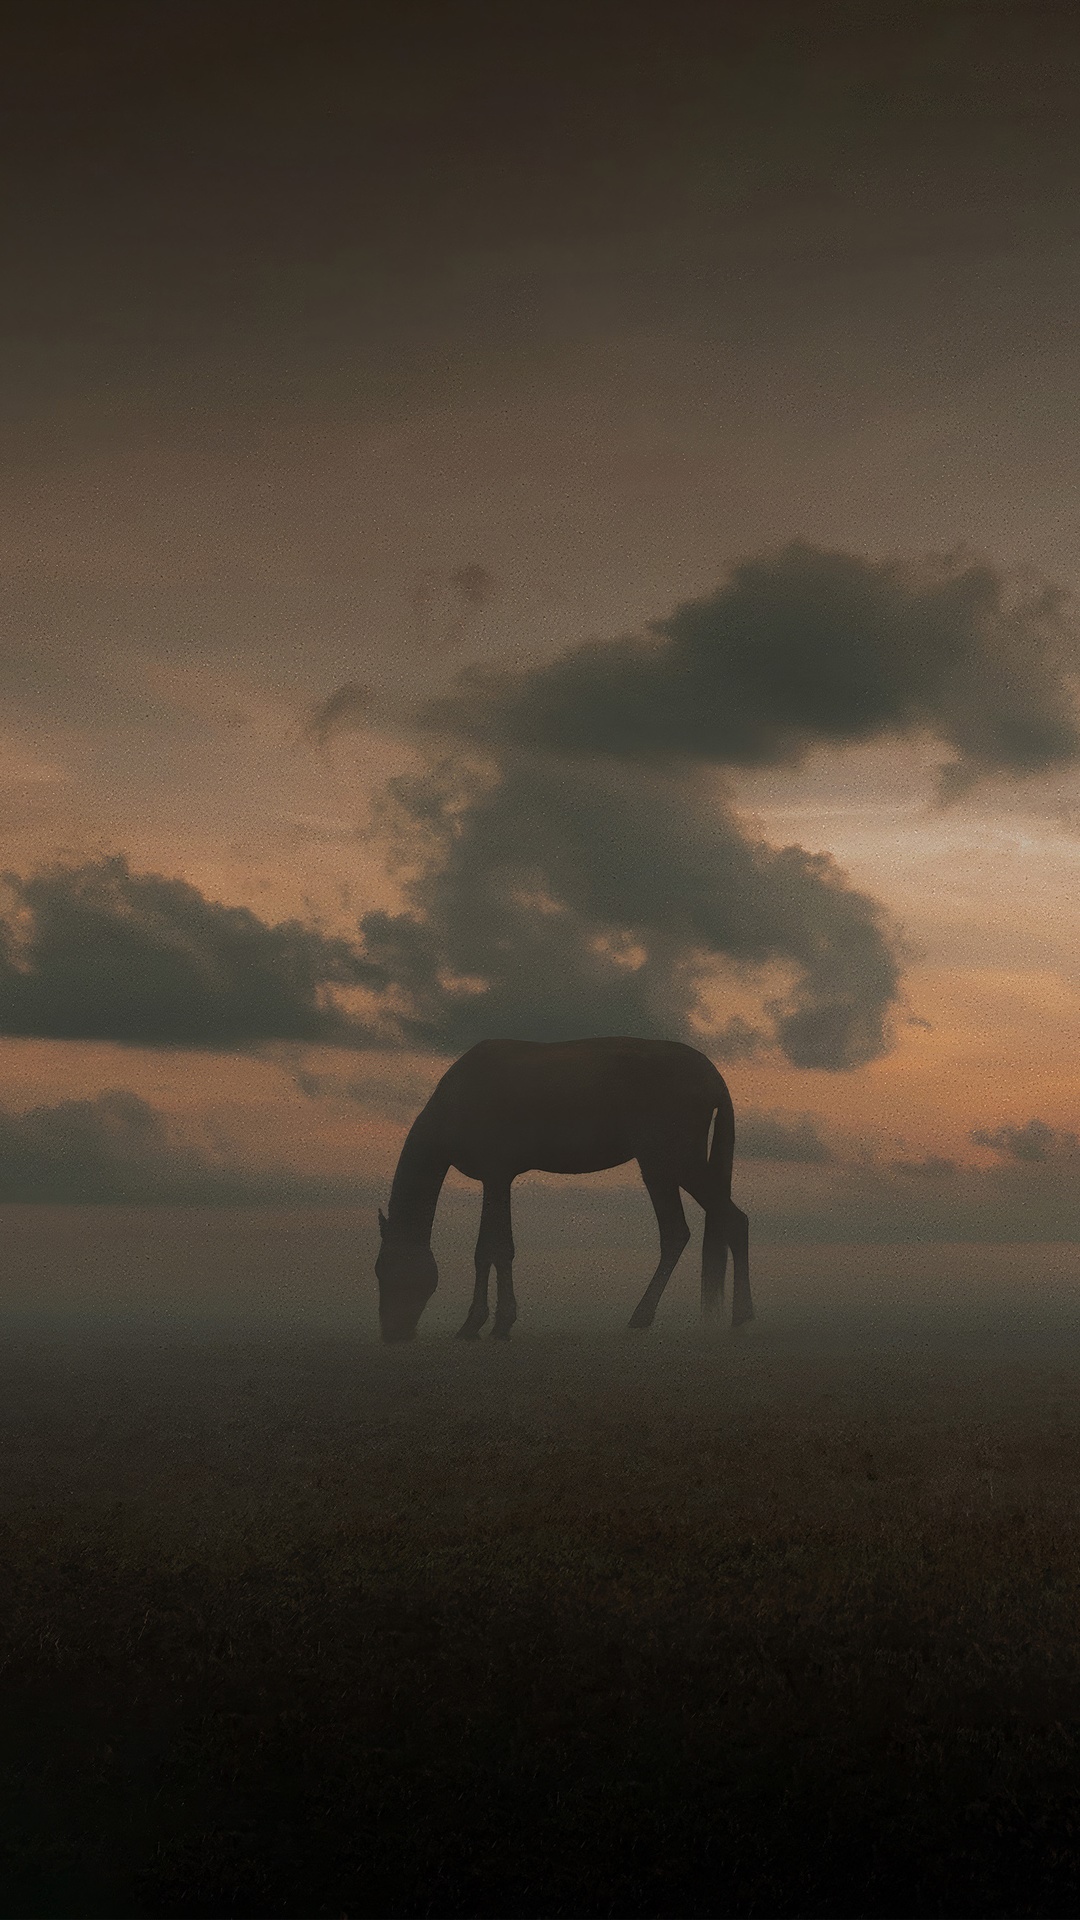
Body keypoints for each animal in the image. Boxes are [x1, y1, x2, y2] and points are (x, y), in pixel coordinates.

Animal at [374, 1036, 752, 1341]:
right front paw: (486, 1325)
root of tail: (711, 1073)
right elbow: (492, 1252)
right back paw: (646, 1316)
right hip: (658, 1168)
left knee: (733, 1222)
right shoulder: (497, 1180)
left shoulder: (495, 1177)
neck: (459, 1098)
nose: (392, 1333)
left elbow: (494, 1250)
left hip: (676, 1161)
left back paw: (740, 1314)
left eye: (386, 1270)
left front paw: (488, 1325)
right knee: (677, 1233)